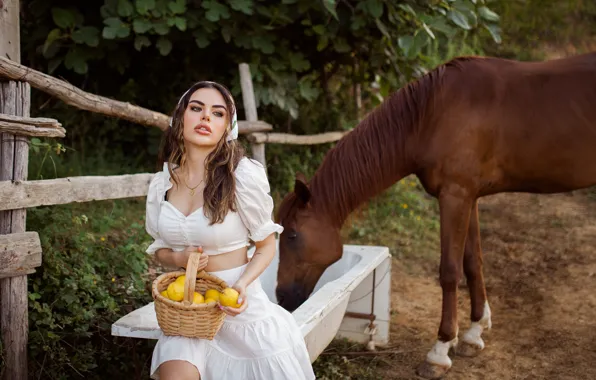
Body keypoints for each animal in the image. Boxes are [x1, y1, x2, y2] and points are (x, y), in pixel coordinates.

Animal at [278, 52, 596, 378]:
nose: (281, 297)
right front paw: (474, 333)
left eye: (292, 235)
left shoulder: (455, 196)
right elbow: (473, 263)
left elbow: (450, 271)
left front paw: (440, 350)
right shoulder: (470, 197)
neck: (431, 115)